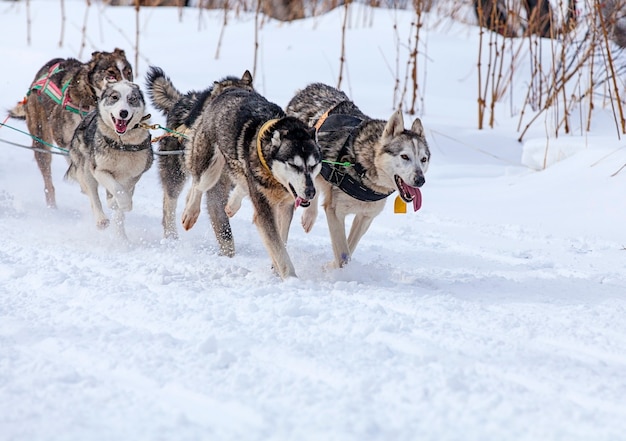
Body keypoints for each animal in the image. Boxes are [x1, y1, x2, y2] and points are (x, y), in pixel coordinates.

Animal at [65, 80, 154, 239]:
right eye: (114, 97)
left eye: (132, 99)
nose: (123, 113)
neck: (122, 144)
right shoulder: (99, 170)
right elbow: (118, 189)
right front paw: (122, 203)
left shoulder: (135, 174)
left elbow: (124, 190)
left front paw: (117, 203)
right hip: (86, 169)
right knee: (93, 196)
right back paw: (101, 219)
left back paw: (122, 238)